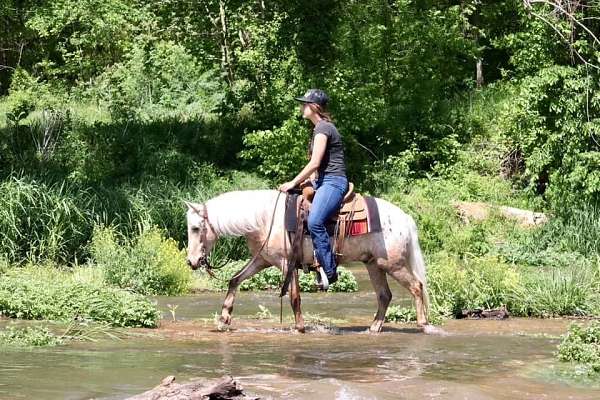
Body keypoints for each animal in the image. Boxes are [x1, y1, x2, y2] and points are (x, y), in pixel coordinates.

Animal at [184, 189, 436, 332]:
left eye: (196, 228)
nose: (191, 261)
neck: (265, 219)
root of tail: (405, 218)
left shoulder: (286, 263)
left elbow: (294, 297)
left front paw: (300, 327)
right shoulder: (263, 260)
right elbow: (235, 280)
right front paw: (223, 319)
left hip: (393, 265)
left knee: (416, 287)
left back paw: (423, 325)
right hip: (374, 265)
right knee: (385, 295)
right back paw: (374, 328)